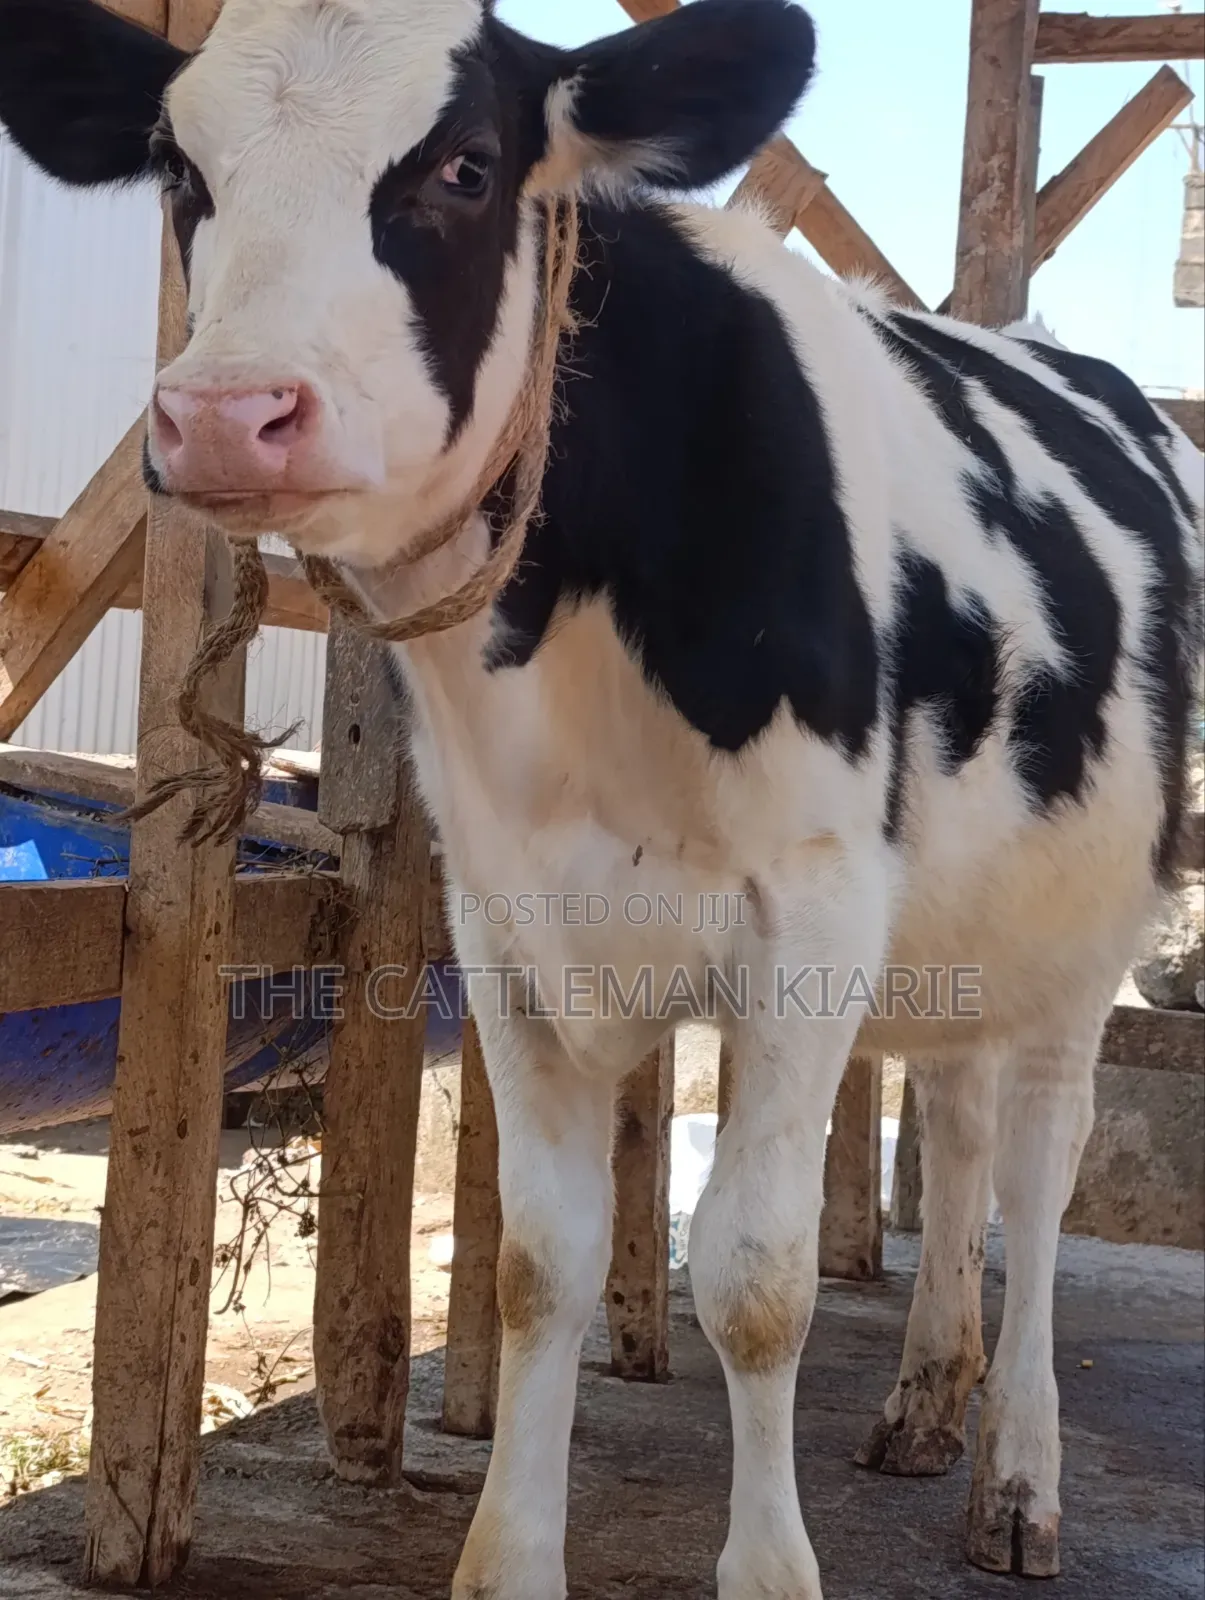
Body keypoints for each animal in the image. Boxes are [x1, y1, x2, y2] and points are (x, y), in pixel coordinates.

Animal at [1, 0, 1200, 1595]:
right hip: (962, 923)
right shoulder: (505, 921)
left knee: (1035, 1167)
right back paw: (924, 1405)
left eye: (465, 166)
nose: (222, 415)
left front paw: (769, 1570)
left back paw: (1013, 1475)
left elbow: (754, 1275)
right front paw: (508, 1560)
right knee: (950, 1127)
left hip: (1088, 926)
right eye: (182, 174)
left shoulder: (812, 911)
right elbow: (535, 1262)